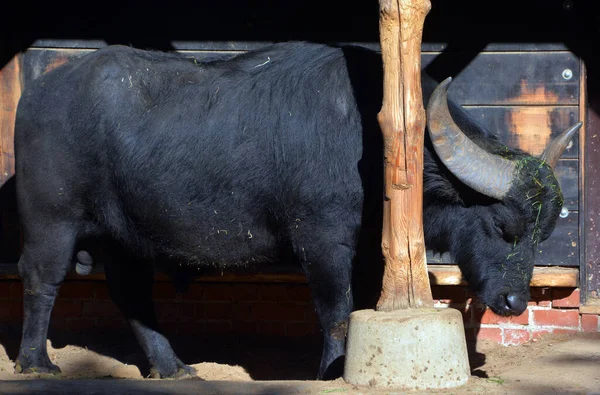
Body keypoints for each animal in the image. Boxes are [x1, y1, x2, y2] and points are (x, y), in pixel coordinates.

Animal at [11, 41, 580, 380]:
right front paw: (331, 370)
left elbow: (356, 306)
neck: (373, 143)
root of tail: (37, 93)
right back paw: (36, 363)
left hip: (126, 235)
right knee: (40, 280)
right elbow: (334, 311)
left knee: (130, 294)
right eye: (501, 225)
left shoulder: (367, 250)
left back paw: (173, 367)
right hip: (52, 221)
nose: (514, 302)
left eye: (543, 233)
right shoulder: (320, 238)